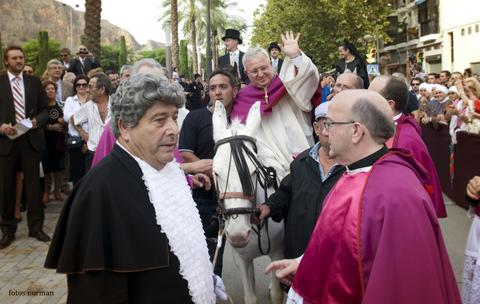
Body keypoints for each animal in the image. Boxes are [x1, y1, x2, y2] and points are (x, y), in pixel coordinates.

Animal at [213, 101, 284, 304]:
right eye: (216, 173)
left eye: (253, 171)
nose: (238, 234)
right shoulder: (241, 259)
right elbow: (250, 297)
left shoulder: (278, 252)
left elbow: (277, 294)